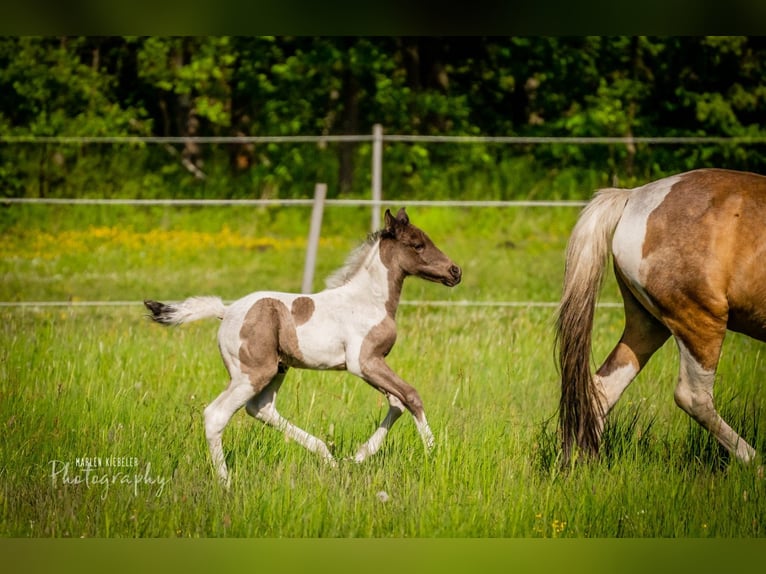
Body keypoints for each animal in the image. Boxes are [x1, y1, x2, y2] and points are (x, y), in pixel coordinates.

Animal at [145, 208, 462, 485]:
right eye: (417, 244)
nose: (455, 271)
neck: (368, 300)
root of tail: (227, 310)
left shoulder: (370, 365)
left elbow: (396, 402)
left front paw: (358, 456)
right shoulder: (364, 363)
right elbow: (411, 396)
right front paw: (433, 452)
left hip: (278, 369)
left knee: (260, 408)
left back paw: (328, 457)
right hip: (252, 373)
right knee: (216, 415)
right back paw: (226, 482)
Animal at [556, 168, 766, 466]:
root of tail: (633, 196)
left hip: (647, 326)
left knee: (601, 389)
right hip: (700, 321)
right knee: (693, 397)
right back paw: (754, 463)